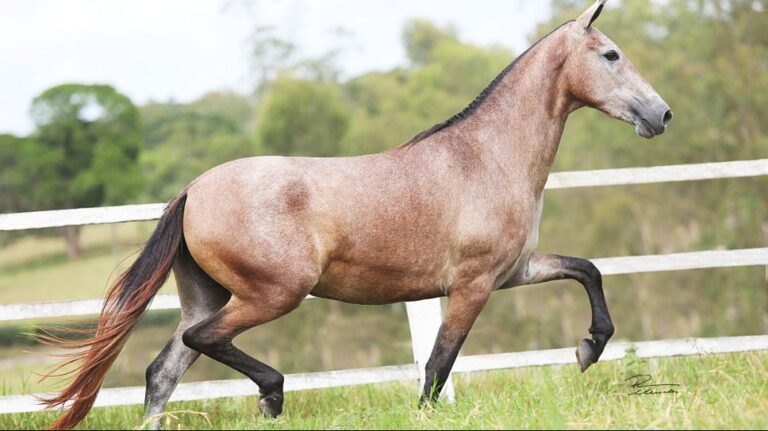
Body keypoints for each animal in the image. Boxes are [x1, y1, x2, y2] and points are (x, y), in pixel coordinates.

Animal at [42, 0, 672, 428]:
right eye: (611, 55)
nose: (662, 114)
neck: (485, 157)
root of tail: (194, 191)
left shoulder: (514, 271)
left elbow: (587, 269)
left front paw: (589, 349)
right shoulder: (472, 285)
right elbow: (438, 365)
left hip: (210, 294)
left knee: (163, 371)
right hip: (273, 293)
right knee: (203, 341)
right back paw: (272, 394)